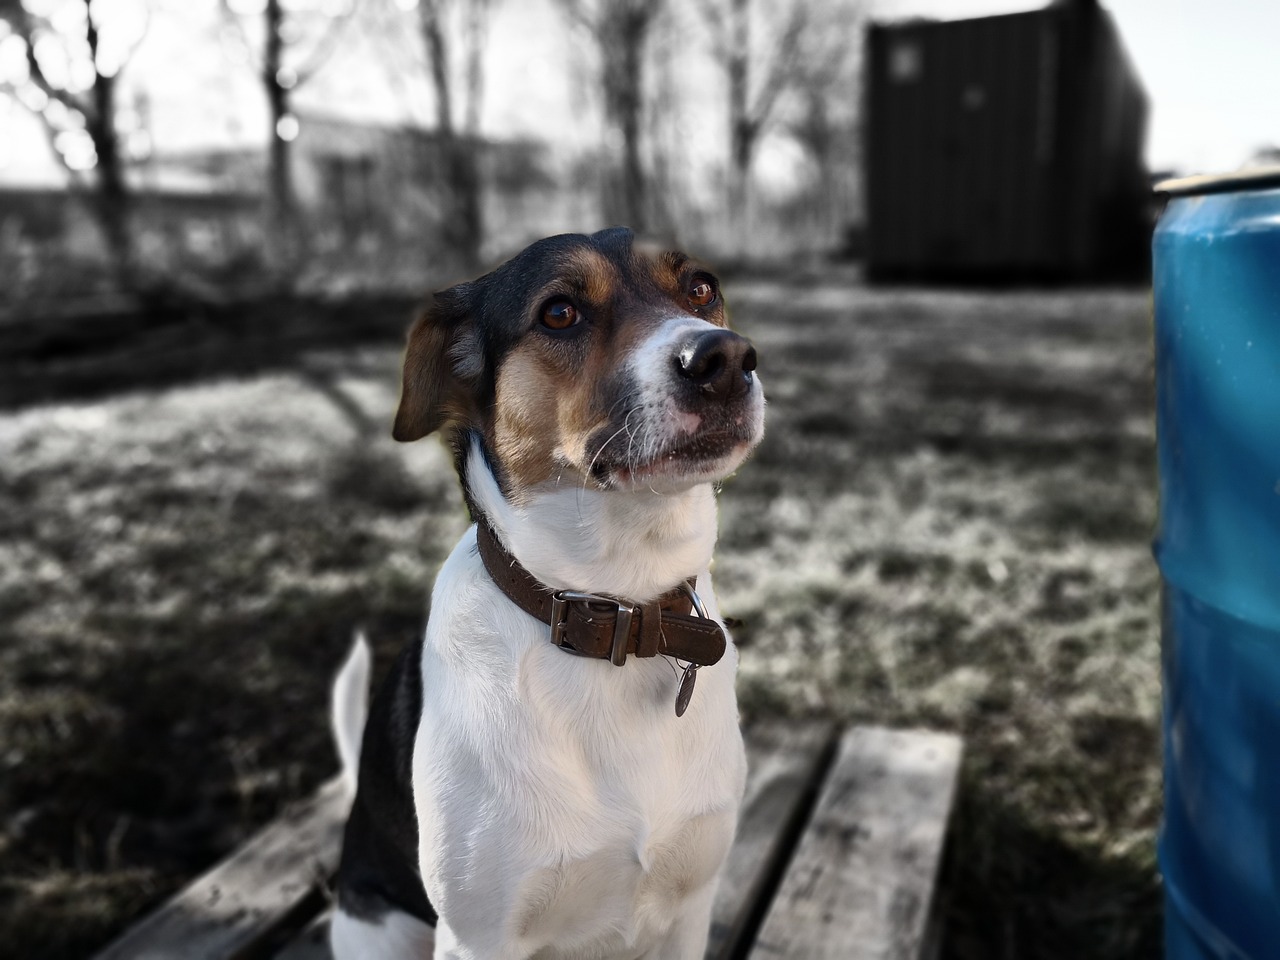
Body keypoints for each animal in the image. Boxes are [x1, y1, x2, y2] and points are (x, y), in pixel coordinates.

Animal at [332, 229, 768, 957]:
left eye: (701, 287)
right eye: (559, 313)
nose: (726, 360)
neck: (619, 609)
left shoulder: (689, 909)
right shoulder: (478, 938)